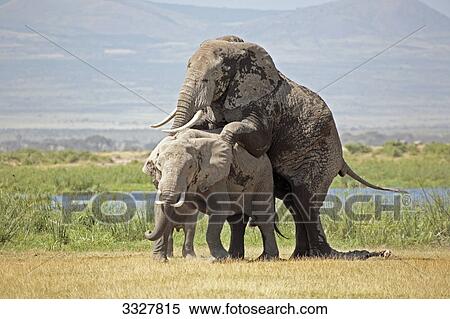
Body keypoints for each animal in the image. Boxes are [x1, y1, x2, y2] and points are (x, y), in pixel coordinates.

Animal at [142, 129, 280, 262]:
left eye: (190, 166)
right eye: (158, 167)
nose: (147, 230)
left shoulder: (217, 176)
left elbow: (220, 209)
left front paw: (219, 258)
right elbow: (160, 211)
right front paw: (159, 260)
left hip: (264, 177)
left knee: (263, 218)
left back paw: (267, 258)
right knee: (236, 221)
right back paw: (235, 256)